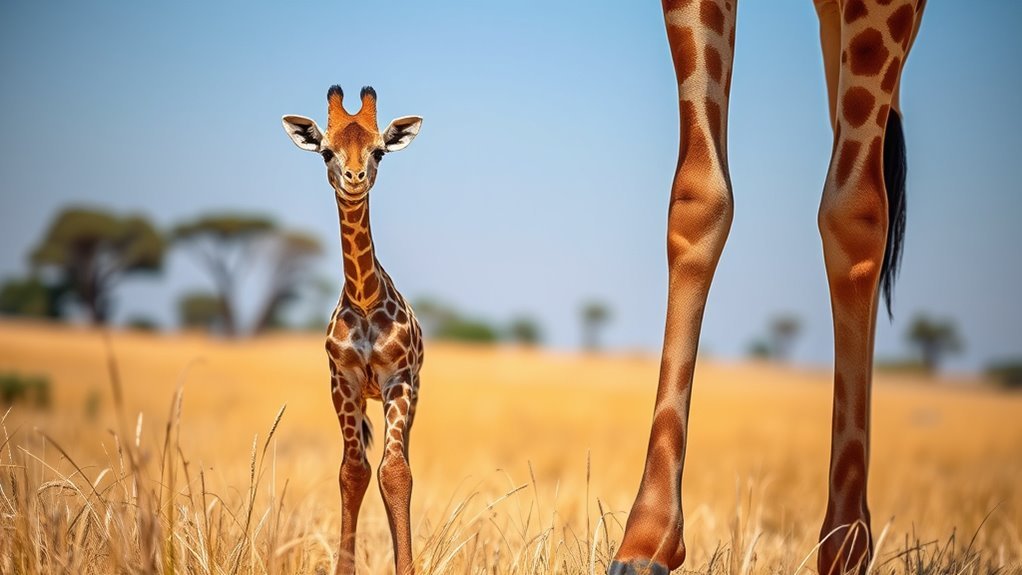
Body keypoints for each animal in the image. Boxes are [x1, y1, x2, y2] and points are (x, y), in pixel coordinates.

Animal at [282, 85, 424, 575]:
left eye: (379, 150)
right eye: (326, 150)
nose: (354, 177)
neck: (363, 299)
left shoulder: (399, 378)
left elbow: (395, 472)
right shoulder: (342, 380)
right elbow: (353, 471)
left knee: (396, 461)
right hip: (363, 398)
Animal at [609, 1, 925, 574]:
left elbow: (854, 212)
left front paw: (845, 546)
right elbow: (699, 191)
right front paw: (646, 541)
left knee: (869, 192)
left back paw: (851, 531)